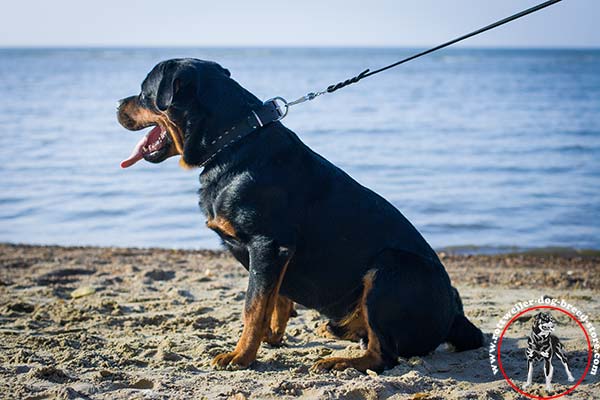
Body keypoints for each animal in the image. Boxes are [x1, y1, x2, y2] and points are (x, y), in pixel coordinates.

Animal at [116, 58, 482, 372]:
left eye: (143, 92)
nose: (117, 104)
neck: (233, 142)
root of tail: (455, 317)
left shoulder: (267, 245)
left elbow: (253, 305)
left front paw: (241, 355)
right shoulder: (275, 255)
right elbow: (274, 299)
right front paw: (269, 338)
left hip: (391, 268)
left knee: (383, 355)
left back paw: (341, 363)